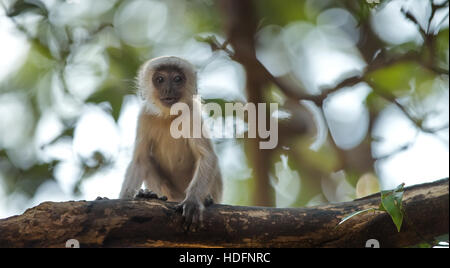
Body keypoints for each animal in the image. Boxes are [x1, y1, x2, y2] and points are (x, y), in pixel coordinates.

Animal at [118, 55, 222, 229]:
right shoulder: (145, 115)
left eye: (177, 79)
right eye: (160, 79)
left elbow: (207, 156)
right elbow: (140, 160)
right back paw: (148, 196)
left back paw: (207, 199)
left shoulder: (191, 112)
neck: (169, 116)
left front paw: (193, 201)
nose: (168, 89)